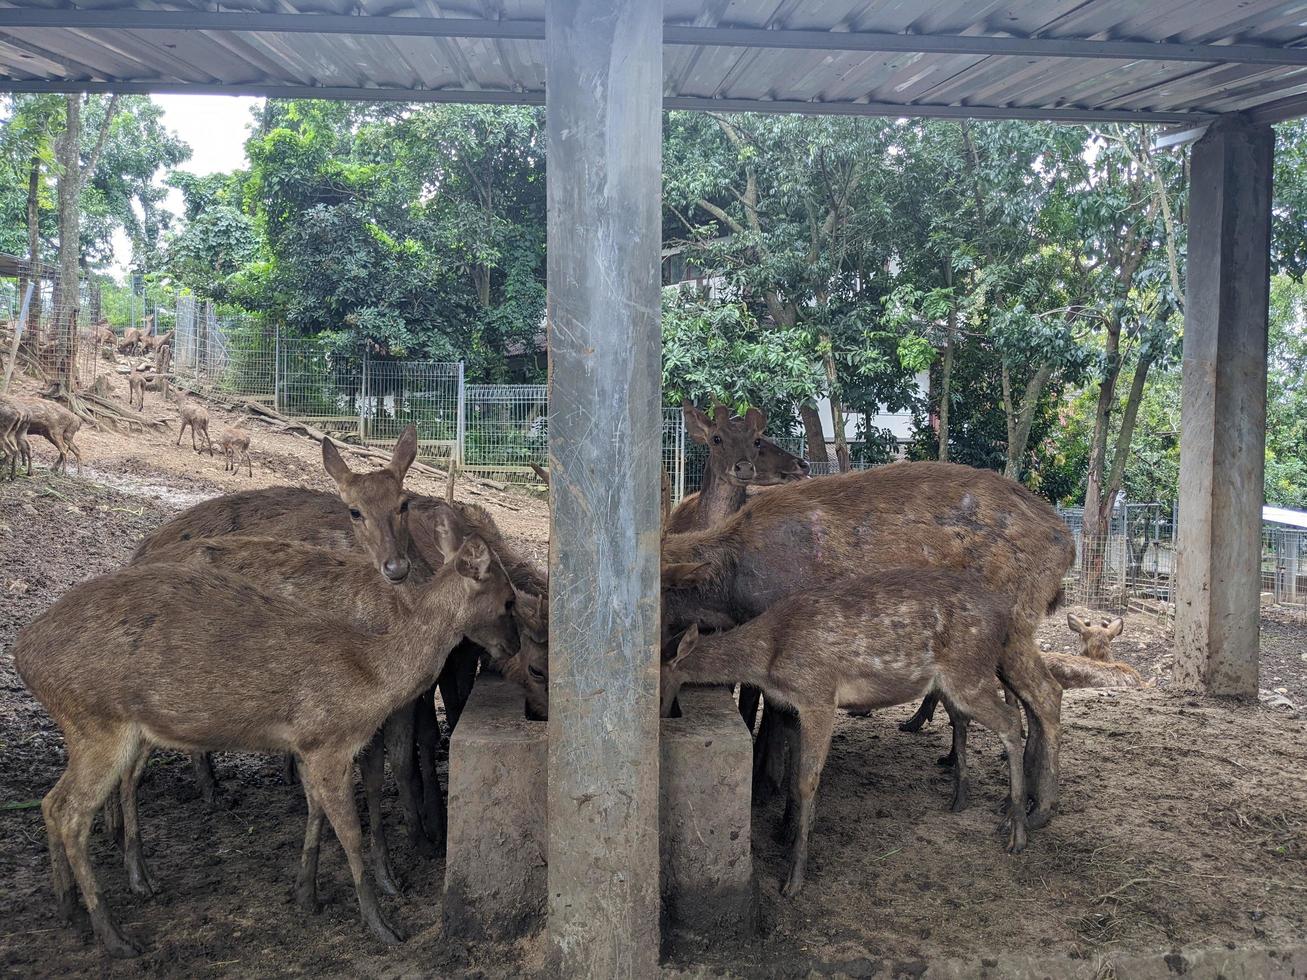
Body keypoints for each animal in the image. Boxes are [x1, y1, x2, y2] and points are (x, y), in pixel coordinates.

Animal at [14, 538, 520, 961]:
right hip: (99, 722)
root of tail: (22, 655)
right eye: (510, 598)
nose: (512, 649)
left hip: (105, 731)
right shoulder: (329, 739)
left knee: (51, 801)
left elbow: (315, 812)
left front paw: (306, 894)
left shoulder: (308, 744)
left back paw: (70, 910)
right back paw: (115, 937)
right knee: (70, 812)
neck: (372, 675)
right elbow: (350, 831)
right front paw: (382, 925)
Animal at [658, 567, 1056, 898]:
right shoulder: (792, 707)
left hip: (967, 673)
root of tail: (1005, 616)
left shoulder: (818, 694)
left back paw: (1017, 830)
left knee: (1011, 719)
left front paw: (794, 878)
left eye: (657, 683)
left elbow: (807, 780)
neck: (769, 656)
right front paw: (789, 836)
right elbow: (795, 778)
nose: (660, 717)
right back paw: (979, 807)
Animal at [663, 462, 1071, 831]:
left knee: (1047, 694)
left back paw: (1040, 809)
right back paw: (1018, 799)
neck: (729, 592)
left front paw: (768, 792)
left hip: (1015, 623)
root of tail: (1065, 542)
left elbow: (773, 715)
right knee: (1028, 702)